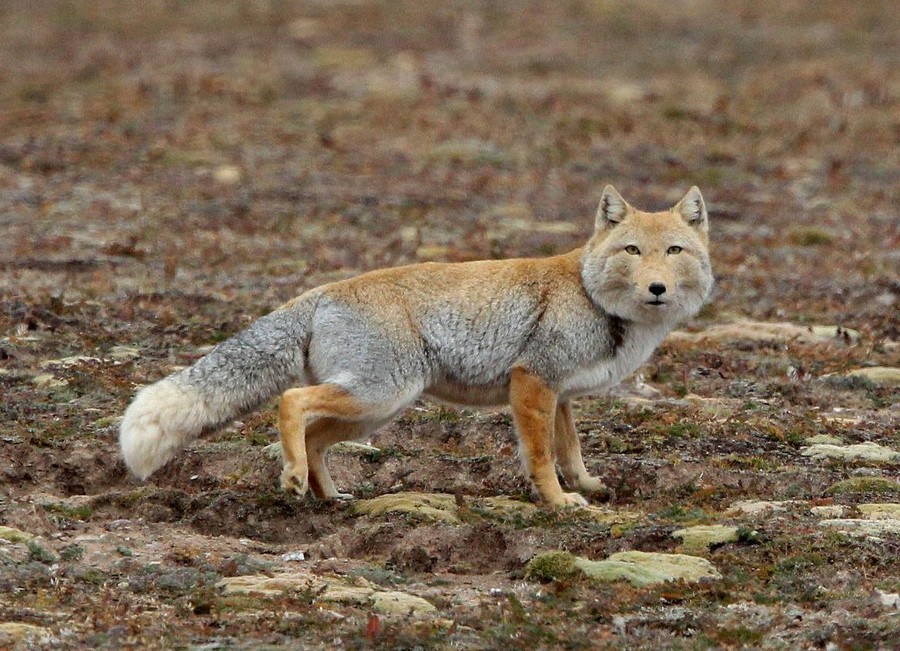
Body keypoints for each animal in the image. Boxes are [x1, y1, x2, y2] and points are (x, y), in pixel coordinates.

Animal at [119, 186, 712, 506]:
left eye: (674, 251)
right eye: (632, 251)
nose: (656, 288)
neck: (593, 296)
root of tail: (320, 291)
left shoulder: (559, 395)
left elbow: (571, 450)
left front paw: (586, 486)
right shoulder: (533, 382)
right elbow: (543, 457)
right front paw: (560, 502)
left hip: (373, 410)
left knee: (314, 437)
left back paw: (328, 495)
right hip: (380, 394)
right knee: (291, 403)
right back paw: (293, 478)